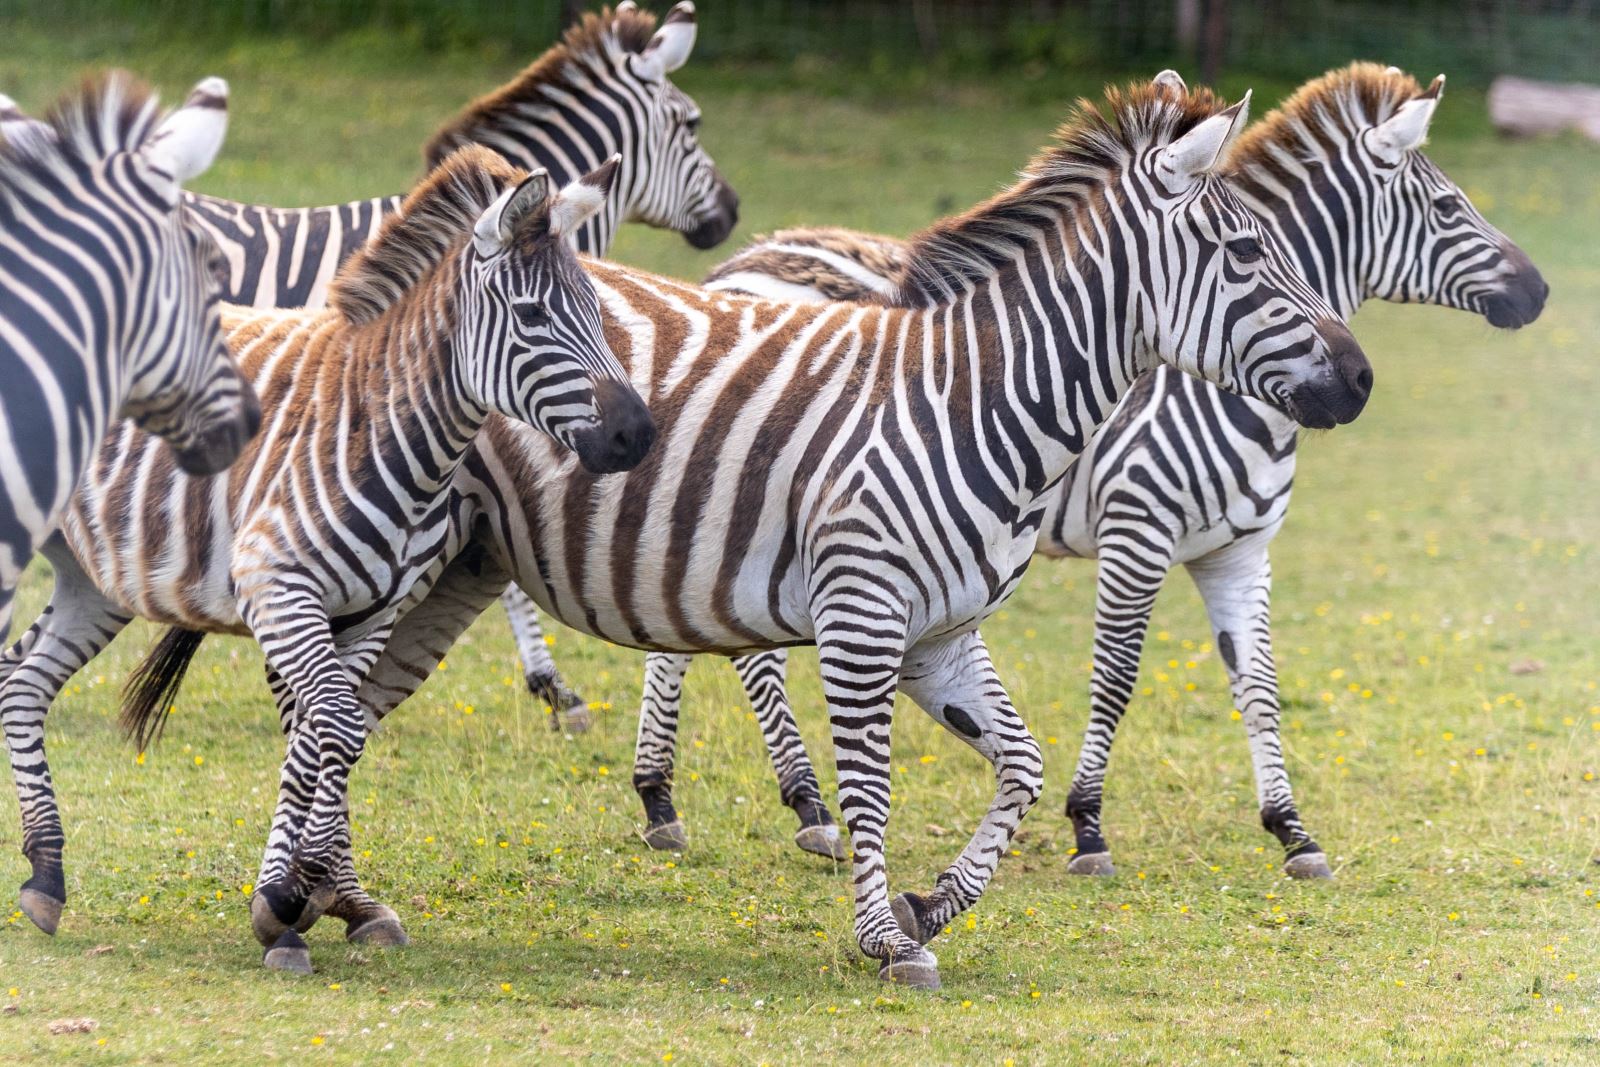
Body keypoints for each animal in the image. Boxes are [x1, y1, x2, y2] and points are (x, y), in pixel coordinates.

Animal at [0, 143, 652, 979]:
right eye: (534, 316)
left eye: (600, 313)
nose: (638, 433)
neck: (385, 429)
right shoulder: (278, 588)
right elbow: (334, 721)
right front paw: (288, 899)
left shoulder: (372, 610)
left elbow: (325, 729)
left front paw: (297, 900)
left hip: (98, 577)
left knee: (22, 682)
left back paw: (46, 872)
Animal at [262, 77, 1376, 991]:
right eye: (1248, 253)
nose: (1361, 380)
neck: (976, 398)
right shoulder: (861, 614)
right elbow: (872, 782)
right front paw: (884, 935)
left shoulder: (941, 634)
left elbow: (1020, 763)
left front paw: (927, 905)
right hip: (392, 566)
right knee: (318, 712)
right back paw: (288, 902)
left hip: (453, 572)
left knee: (345, 713)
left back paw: (338, 897)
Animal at [617, 66, 1542, 883]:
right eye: (1449, 206)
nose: (1537, 291)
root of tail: (738, 263)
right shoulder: (1139, 529)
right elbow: (1117, 676)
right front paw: (1088, 824)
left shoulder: (1240, 549)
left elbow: (1260, 684)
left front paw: (1292, 829)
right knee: (745, 655)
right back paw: (805, 805)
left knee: (679, 633)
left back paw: (664, 801)